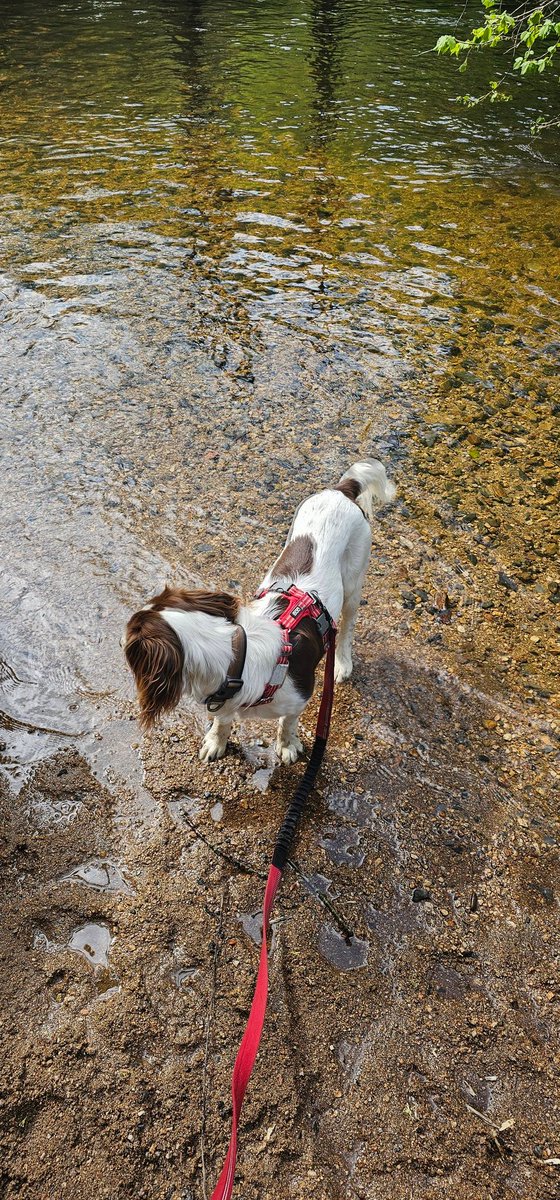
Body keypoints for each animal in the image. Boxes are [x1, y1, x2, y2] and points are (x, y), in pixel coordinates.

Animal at [124, 458, 395, 758]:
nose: (119, 637)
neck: (239, 663)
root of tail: (341, 490)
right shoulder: (224, 701)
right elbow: (222, 721)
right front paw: (216, 742)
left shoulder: (301, 696)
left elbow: (288, 723)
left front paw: (287, 745)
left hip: (353, 581)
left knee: (347, 626)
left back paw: (342, 663)